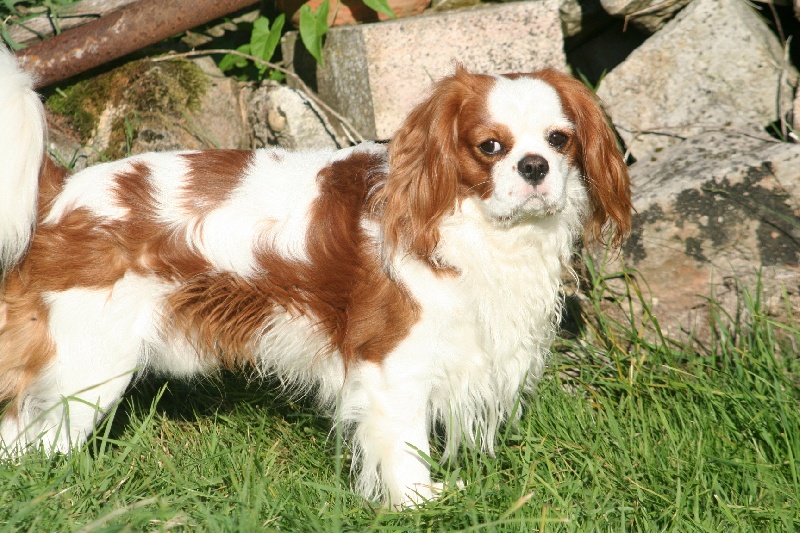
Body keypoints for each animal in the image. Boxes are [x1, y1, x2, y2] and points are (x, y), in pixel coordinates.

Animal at [0, 48, 632, 508]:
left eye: (559, 139)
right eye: (490, 147)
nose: (534, 167)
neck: (469, 223)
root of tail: (63, 195)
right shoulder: (393, 360)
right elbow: (404, 441)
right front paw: (419, 502)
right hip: (90, 364)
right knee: (36, 441)